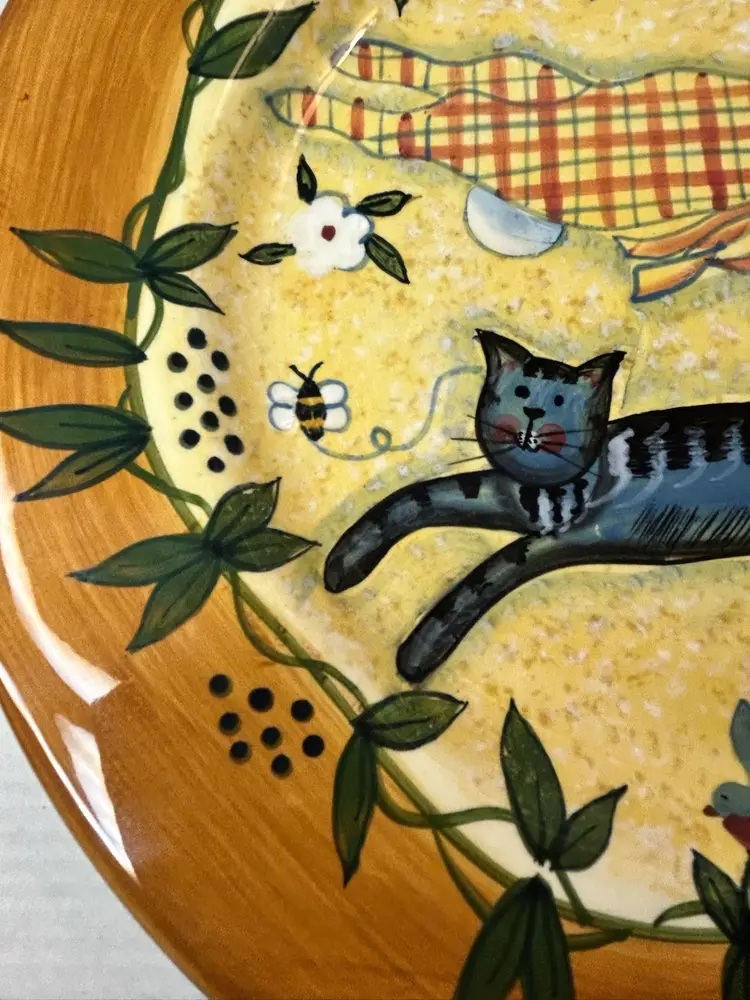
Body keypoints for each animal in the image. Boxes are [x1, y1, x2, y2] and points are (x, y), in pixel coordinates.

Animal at [324, 329, 750, 682]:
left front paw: (420, 650)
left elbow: (480, 579)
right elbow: (419, 496)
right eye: (522, 393)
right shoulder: (501, 492)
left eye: (558, 400)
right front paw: (347, 559)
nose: (533, 413)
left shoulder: (556, 539)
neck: (545, 495)